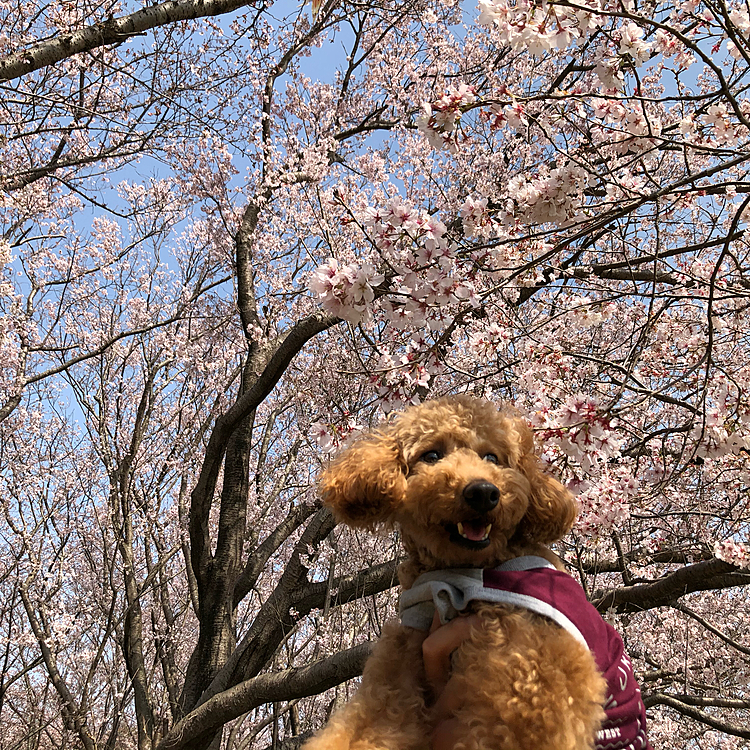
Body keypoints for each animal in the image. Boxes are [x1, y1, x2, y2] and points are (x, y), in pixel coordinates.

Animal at [306, 396, 652, 748]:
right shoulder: (400, 663)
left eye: (492, 457)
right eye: (431, 455)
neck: (463, 574)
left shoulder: (536, 679)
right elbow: (368, 723)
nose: (483, 492)